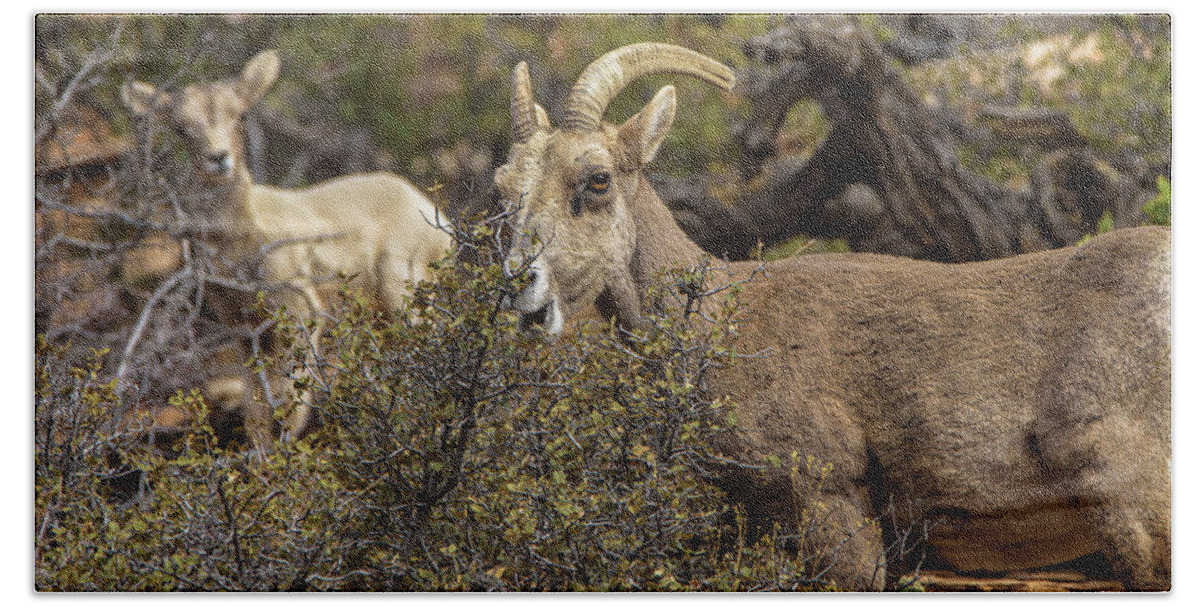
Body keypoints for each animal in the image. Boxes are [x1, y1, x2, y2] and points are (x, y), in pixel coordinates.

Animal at [123, 50, 453, 445]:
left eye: (240, 114)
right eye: (180, 128)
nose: (218, 158)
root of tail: (435, 217)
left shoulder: (301, 314)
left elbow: (292, 403)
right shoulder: (246, 330)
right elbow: (255, 406)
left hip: (401, 291)